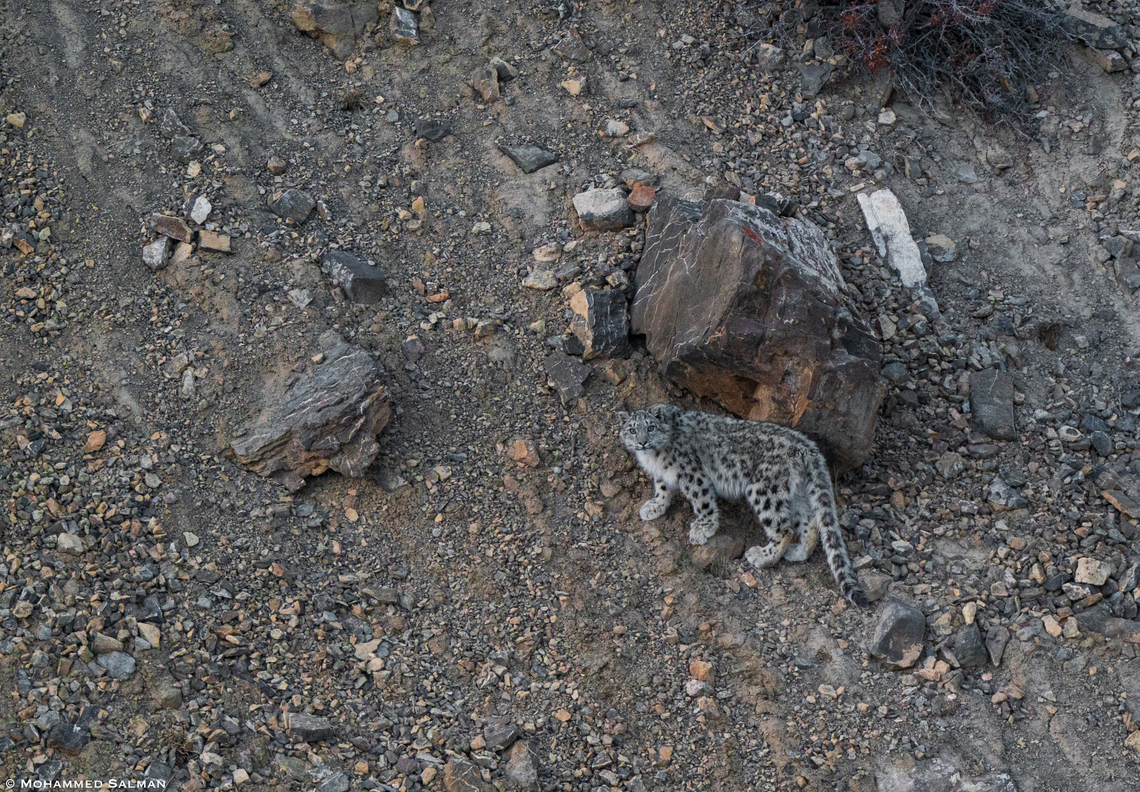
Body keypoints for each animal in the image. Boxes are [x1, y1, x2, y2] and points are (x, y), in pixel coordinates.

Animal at [619, 404, 868, 607]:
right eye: (632, 430)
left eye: (651, 427)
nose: (642, 441)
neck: (654, 457)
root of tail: (805, 444)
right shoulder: (662, 475)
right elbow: (662, 489)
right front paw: (654, 506)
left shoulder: (692, 475)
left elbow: (702, 501)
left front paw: (703, 529)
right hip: (796, 492)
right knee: (810, 521)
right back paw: (798, 552)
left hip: (762, 489)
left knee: (784, 528)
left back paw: (762, 556)